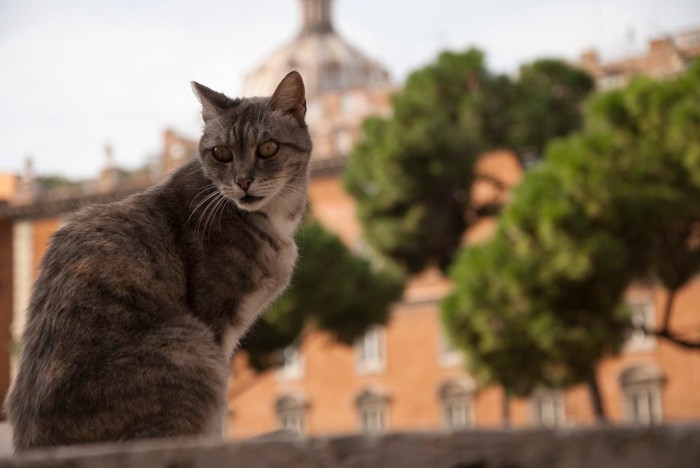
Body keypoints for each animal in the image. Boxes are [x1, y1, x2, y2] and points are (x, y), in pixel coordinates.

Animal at [4, 69, 312, 450]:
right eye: (221, 153)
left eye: (268, 147)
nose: (243, 181)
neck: (272, 219)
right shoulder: (215, 324)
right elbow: (218, 413)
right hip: (189, 344)